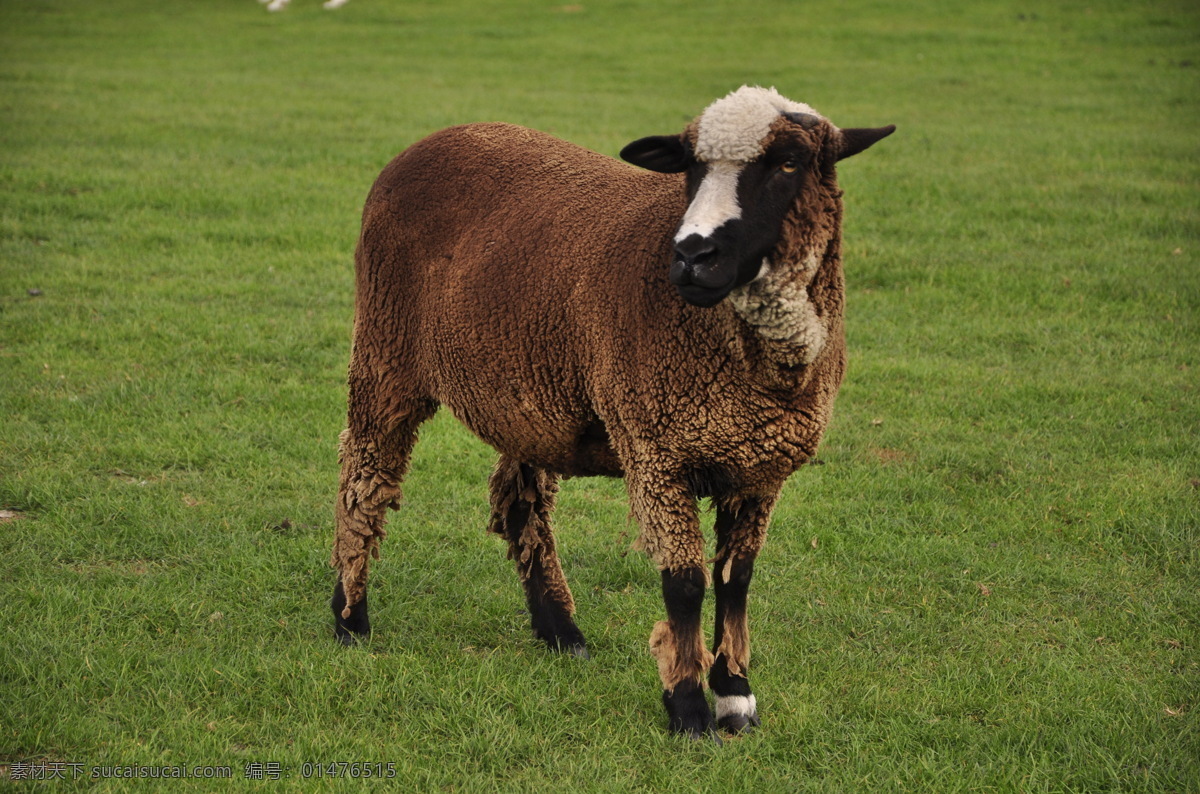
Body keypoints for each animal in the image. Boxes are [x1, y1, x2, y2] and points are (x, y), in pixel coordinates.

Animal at [328, 88, 892, 748]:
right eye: (689, 166)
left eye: (789, 163)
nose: (692, 256)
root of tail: (431, 140)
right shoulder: (656, 450)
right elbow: (685, 583)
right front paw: (688, 709)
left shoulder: (759, 470)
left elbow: (737, 579)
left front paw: (736, 698)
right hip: (385, 351)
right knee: (364, 478)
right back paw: (350, 619)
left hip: (528, 389)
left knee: (519, 503)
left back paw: (561, 633)